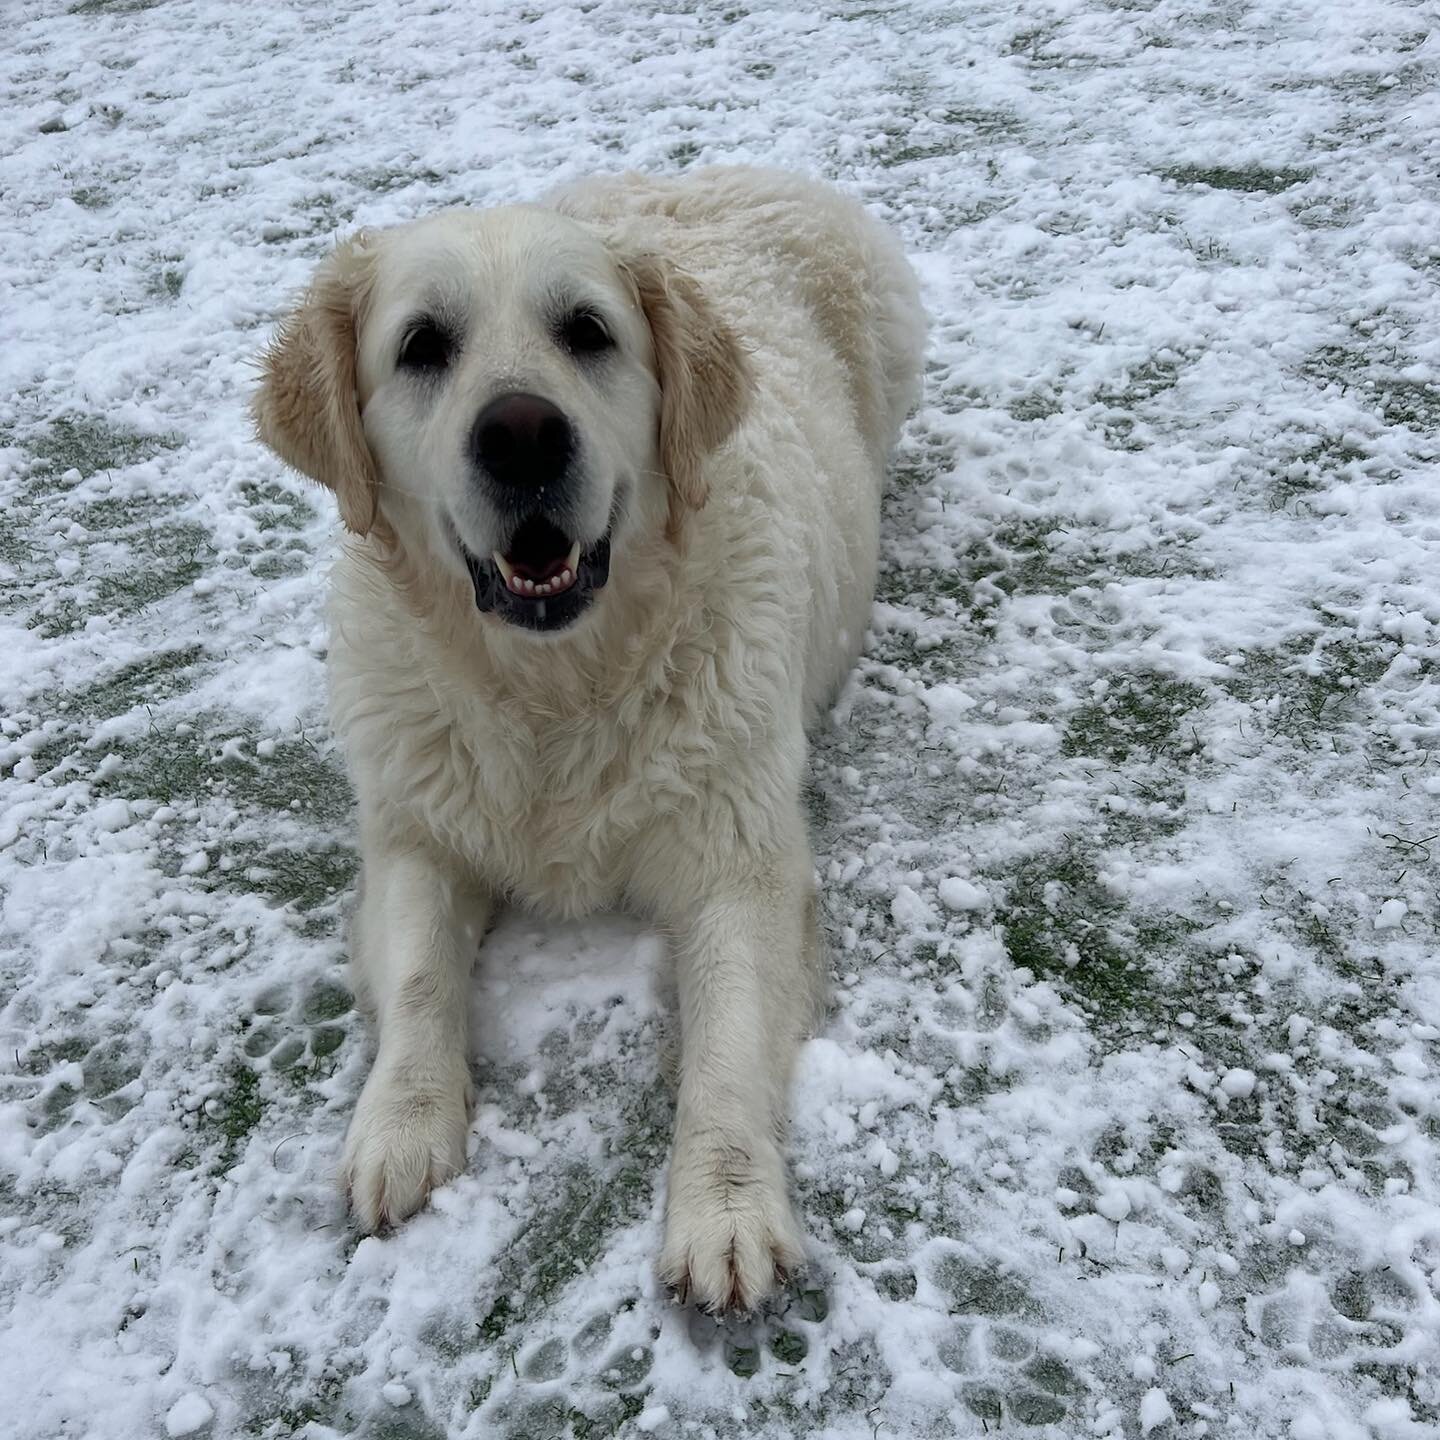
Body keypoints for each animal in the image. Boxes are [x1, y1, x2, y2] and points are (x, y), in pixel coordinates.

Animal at [253, 163, 927, 1313]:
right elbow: (422, 975)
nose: (522, 433)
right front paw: (400, 1126)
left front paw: (726, 1212)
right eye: (422, 345)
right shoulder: (414, 833)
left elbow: (726, 1043)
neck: (555, 691)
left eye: (587, 331)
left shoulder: (739, 862)